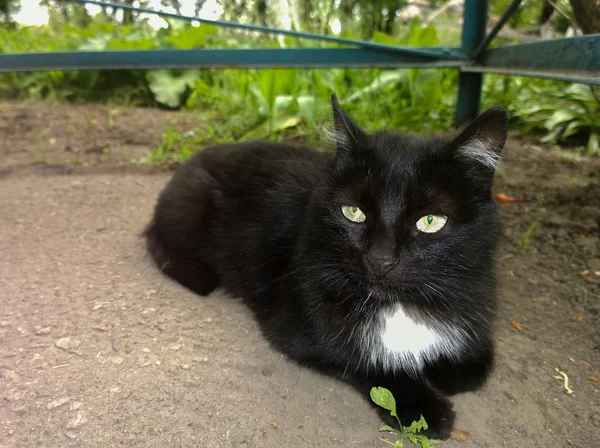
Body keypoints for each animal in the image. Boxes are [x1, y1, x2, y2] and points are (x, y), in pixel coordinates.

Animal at [145, 94, 506, 438]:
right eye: (353, 212)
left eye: (430, 221)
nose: (380, 259)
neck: (400, 304)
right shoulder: (295, 323)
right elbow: (359, 357)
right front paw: (422, 407)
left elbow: (478, 361)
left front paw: (451, 367)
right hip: (192, 202)